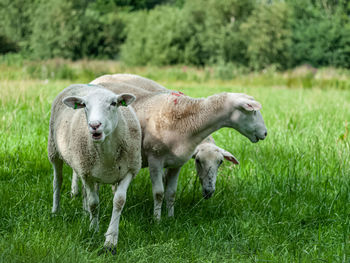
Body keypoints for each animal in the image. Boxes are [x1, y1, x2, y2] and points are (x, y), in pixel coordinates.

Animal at [47, 83, 142, 253]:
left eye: (114, 103)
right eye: (84, 105)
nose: (94, 125)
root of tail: (78, 84)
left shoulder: (130, 171)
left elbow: (119, 201)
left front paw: (111, 240)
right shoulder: (87, 174)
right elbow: (94, 203)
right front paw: (93, 230)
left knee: (84, 191)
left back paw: (85, 214)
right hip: (54, 149)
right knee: (57, 181)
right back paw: (55, 211)